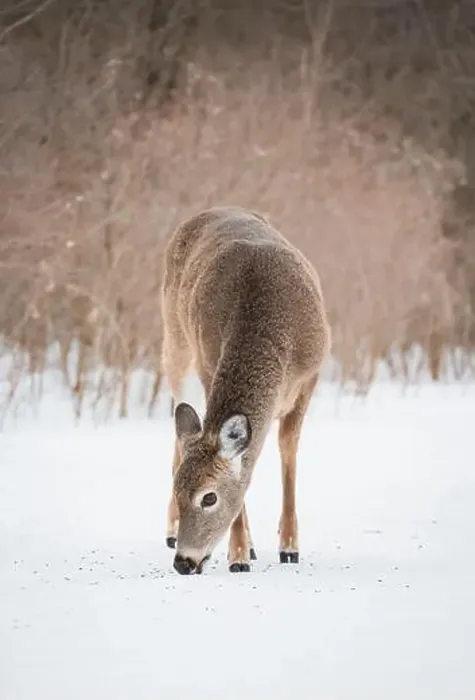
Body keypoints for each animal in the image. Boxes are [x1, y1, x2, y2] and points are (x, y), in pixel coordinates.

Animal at [160, 206, 331, 575]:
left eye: (209, 497)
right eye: (179, 491)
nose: (183, 562)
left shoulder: (311, 375)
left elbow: (287, 447)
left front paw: (289, 547)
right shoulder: (208, 365)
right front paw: (237, 554)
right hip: (177, 349)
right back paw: (174, 532)